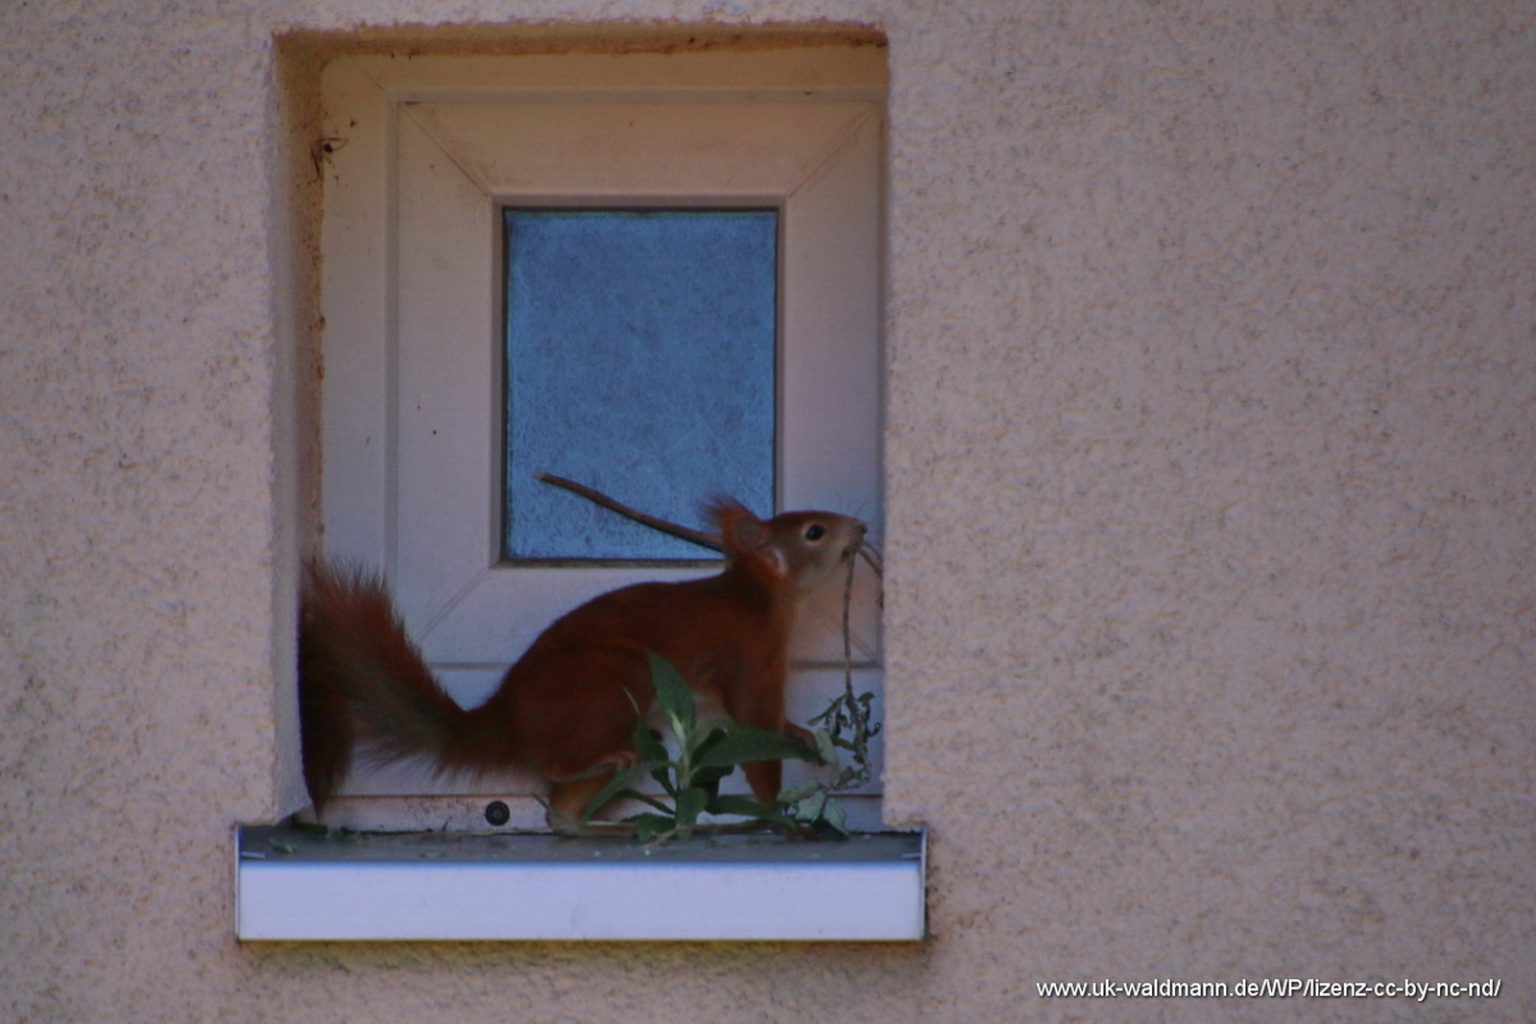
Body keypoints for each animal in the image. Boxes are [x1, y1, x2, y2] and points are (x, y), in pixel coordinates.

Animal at [299, 499, 867, 830]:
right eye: (815, 532)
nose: (861, 526)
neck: (758, 596)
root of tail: (505, 720)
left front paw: (801, 734)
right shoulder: (750, 659)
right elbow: (755, 730)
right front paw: (777, 810)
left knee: (562, 816)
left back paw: (605, 825)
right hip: (613, 688)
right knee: (556, 770)